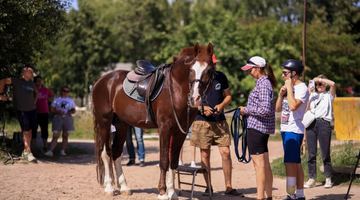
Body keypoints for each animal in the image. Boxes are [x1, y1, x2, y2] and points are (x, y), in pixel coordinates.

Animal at [93, 43, 215, 199]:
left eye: (209, 70)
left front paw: (172, 193)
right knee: (105, 153)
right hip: (104, 122)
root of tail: (102, 81)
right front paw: (162, 192)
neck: (176, 88)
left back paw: (124, 187)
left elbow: (173, 161)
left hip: (121, 125)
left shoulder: (180, 132)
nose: (195, 99)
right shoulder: (164, 128)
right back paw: (109, 187)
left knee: (116, 152)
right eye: (191, 69)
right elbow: (164, 160)